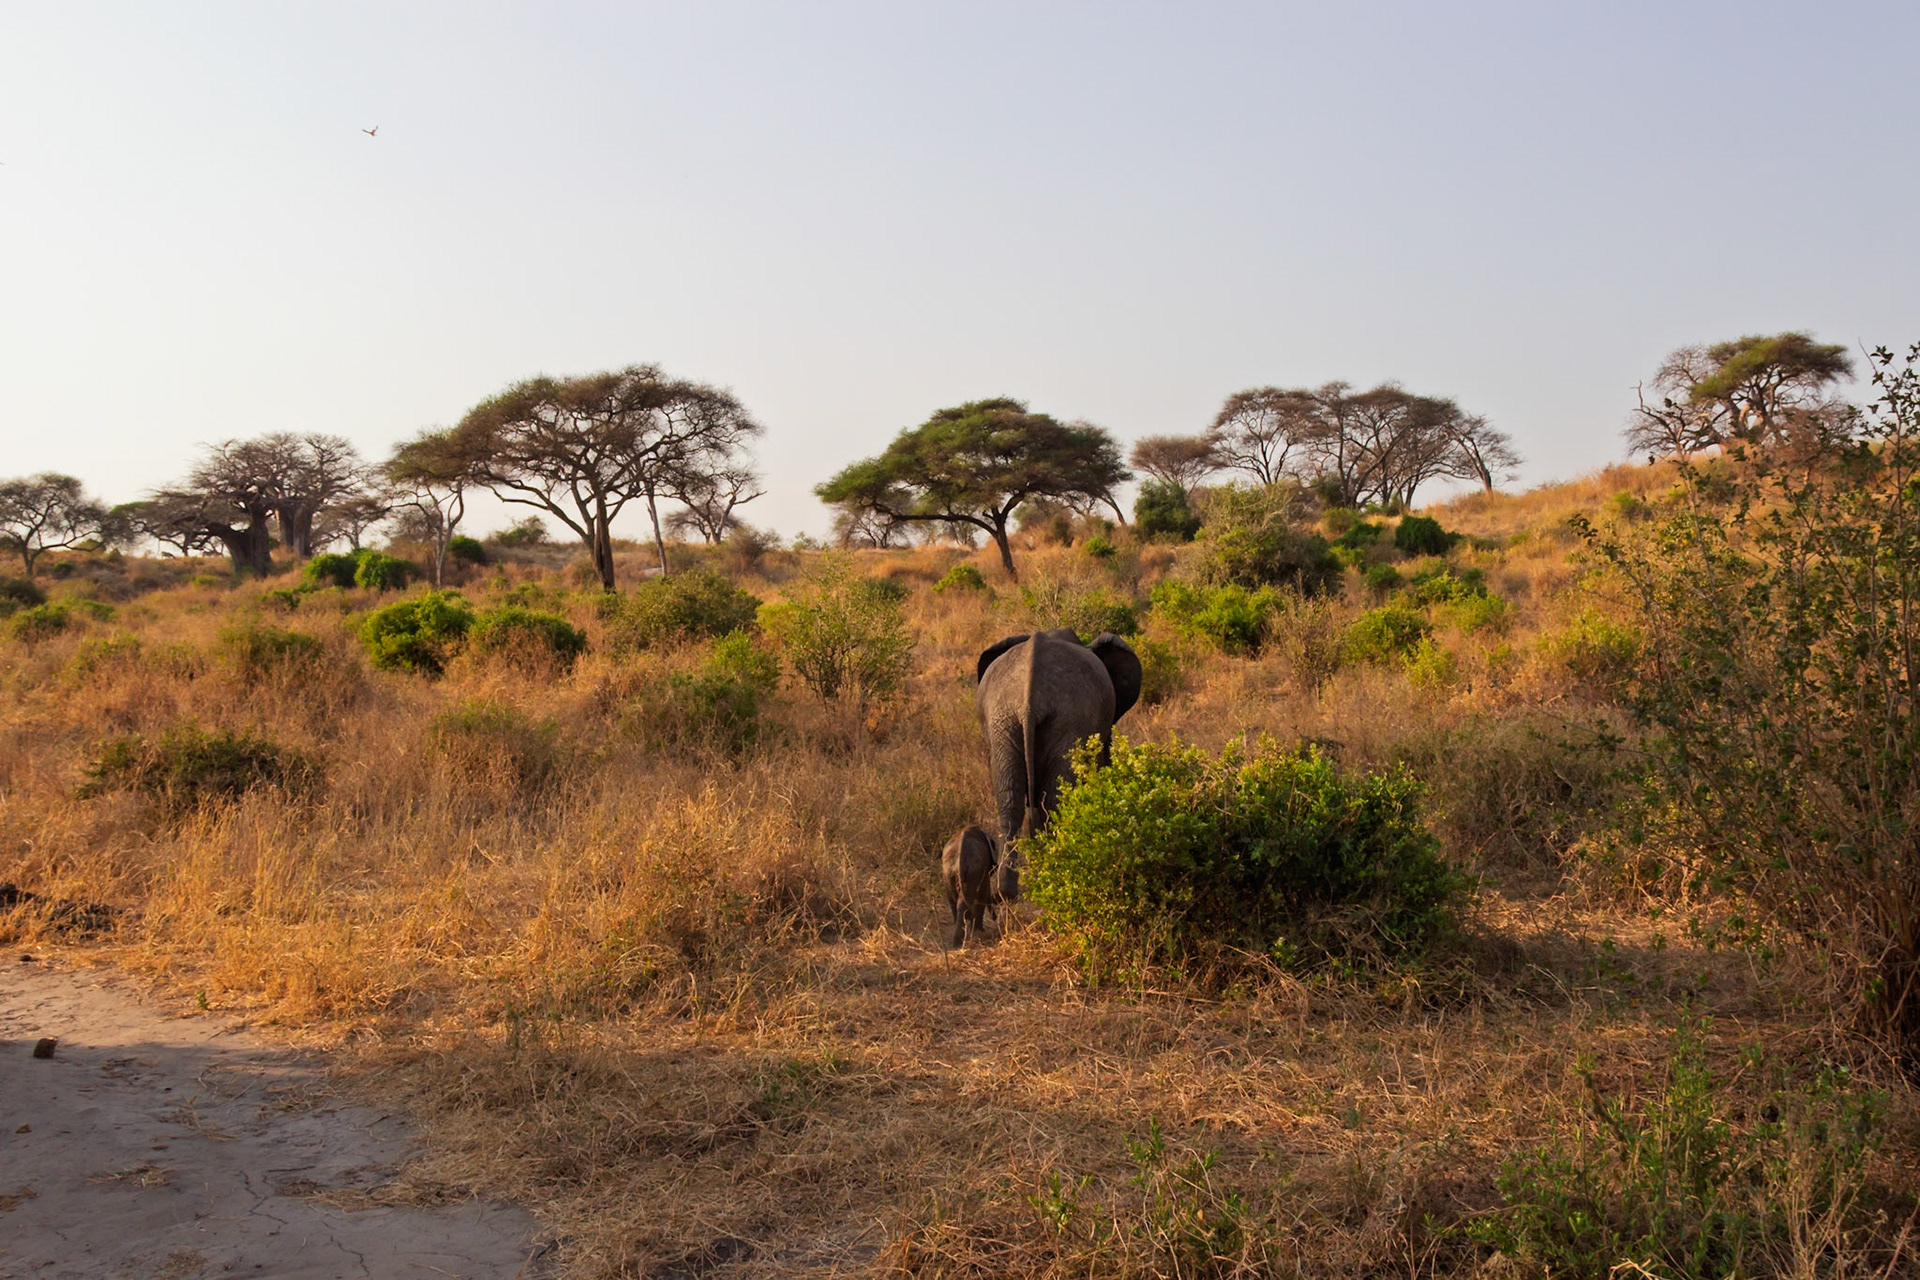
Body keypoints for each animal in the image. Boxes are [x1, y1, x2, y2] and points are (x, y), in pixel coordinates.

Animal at [974, 628, 1143, 901]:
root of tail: (1029, 698)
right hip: (1065, 719)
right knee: (1053, 799)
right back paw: (1054, 871)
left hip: (1003, 718)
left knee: (1010, 798)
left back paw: (1007, 891)